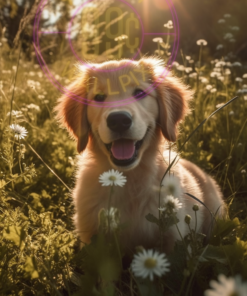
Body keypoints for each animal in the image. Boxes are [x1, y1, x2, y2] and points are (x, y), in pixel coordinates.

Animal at [55, 57, 225, 252]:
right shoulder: (89, 236)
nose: (119, 120)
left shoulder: (174, 236)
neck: (128, 178)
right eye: (98, 97)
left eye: (139, 93)